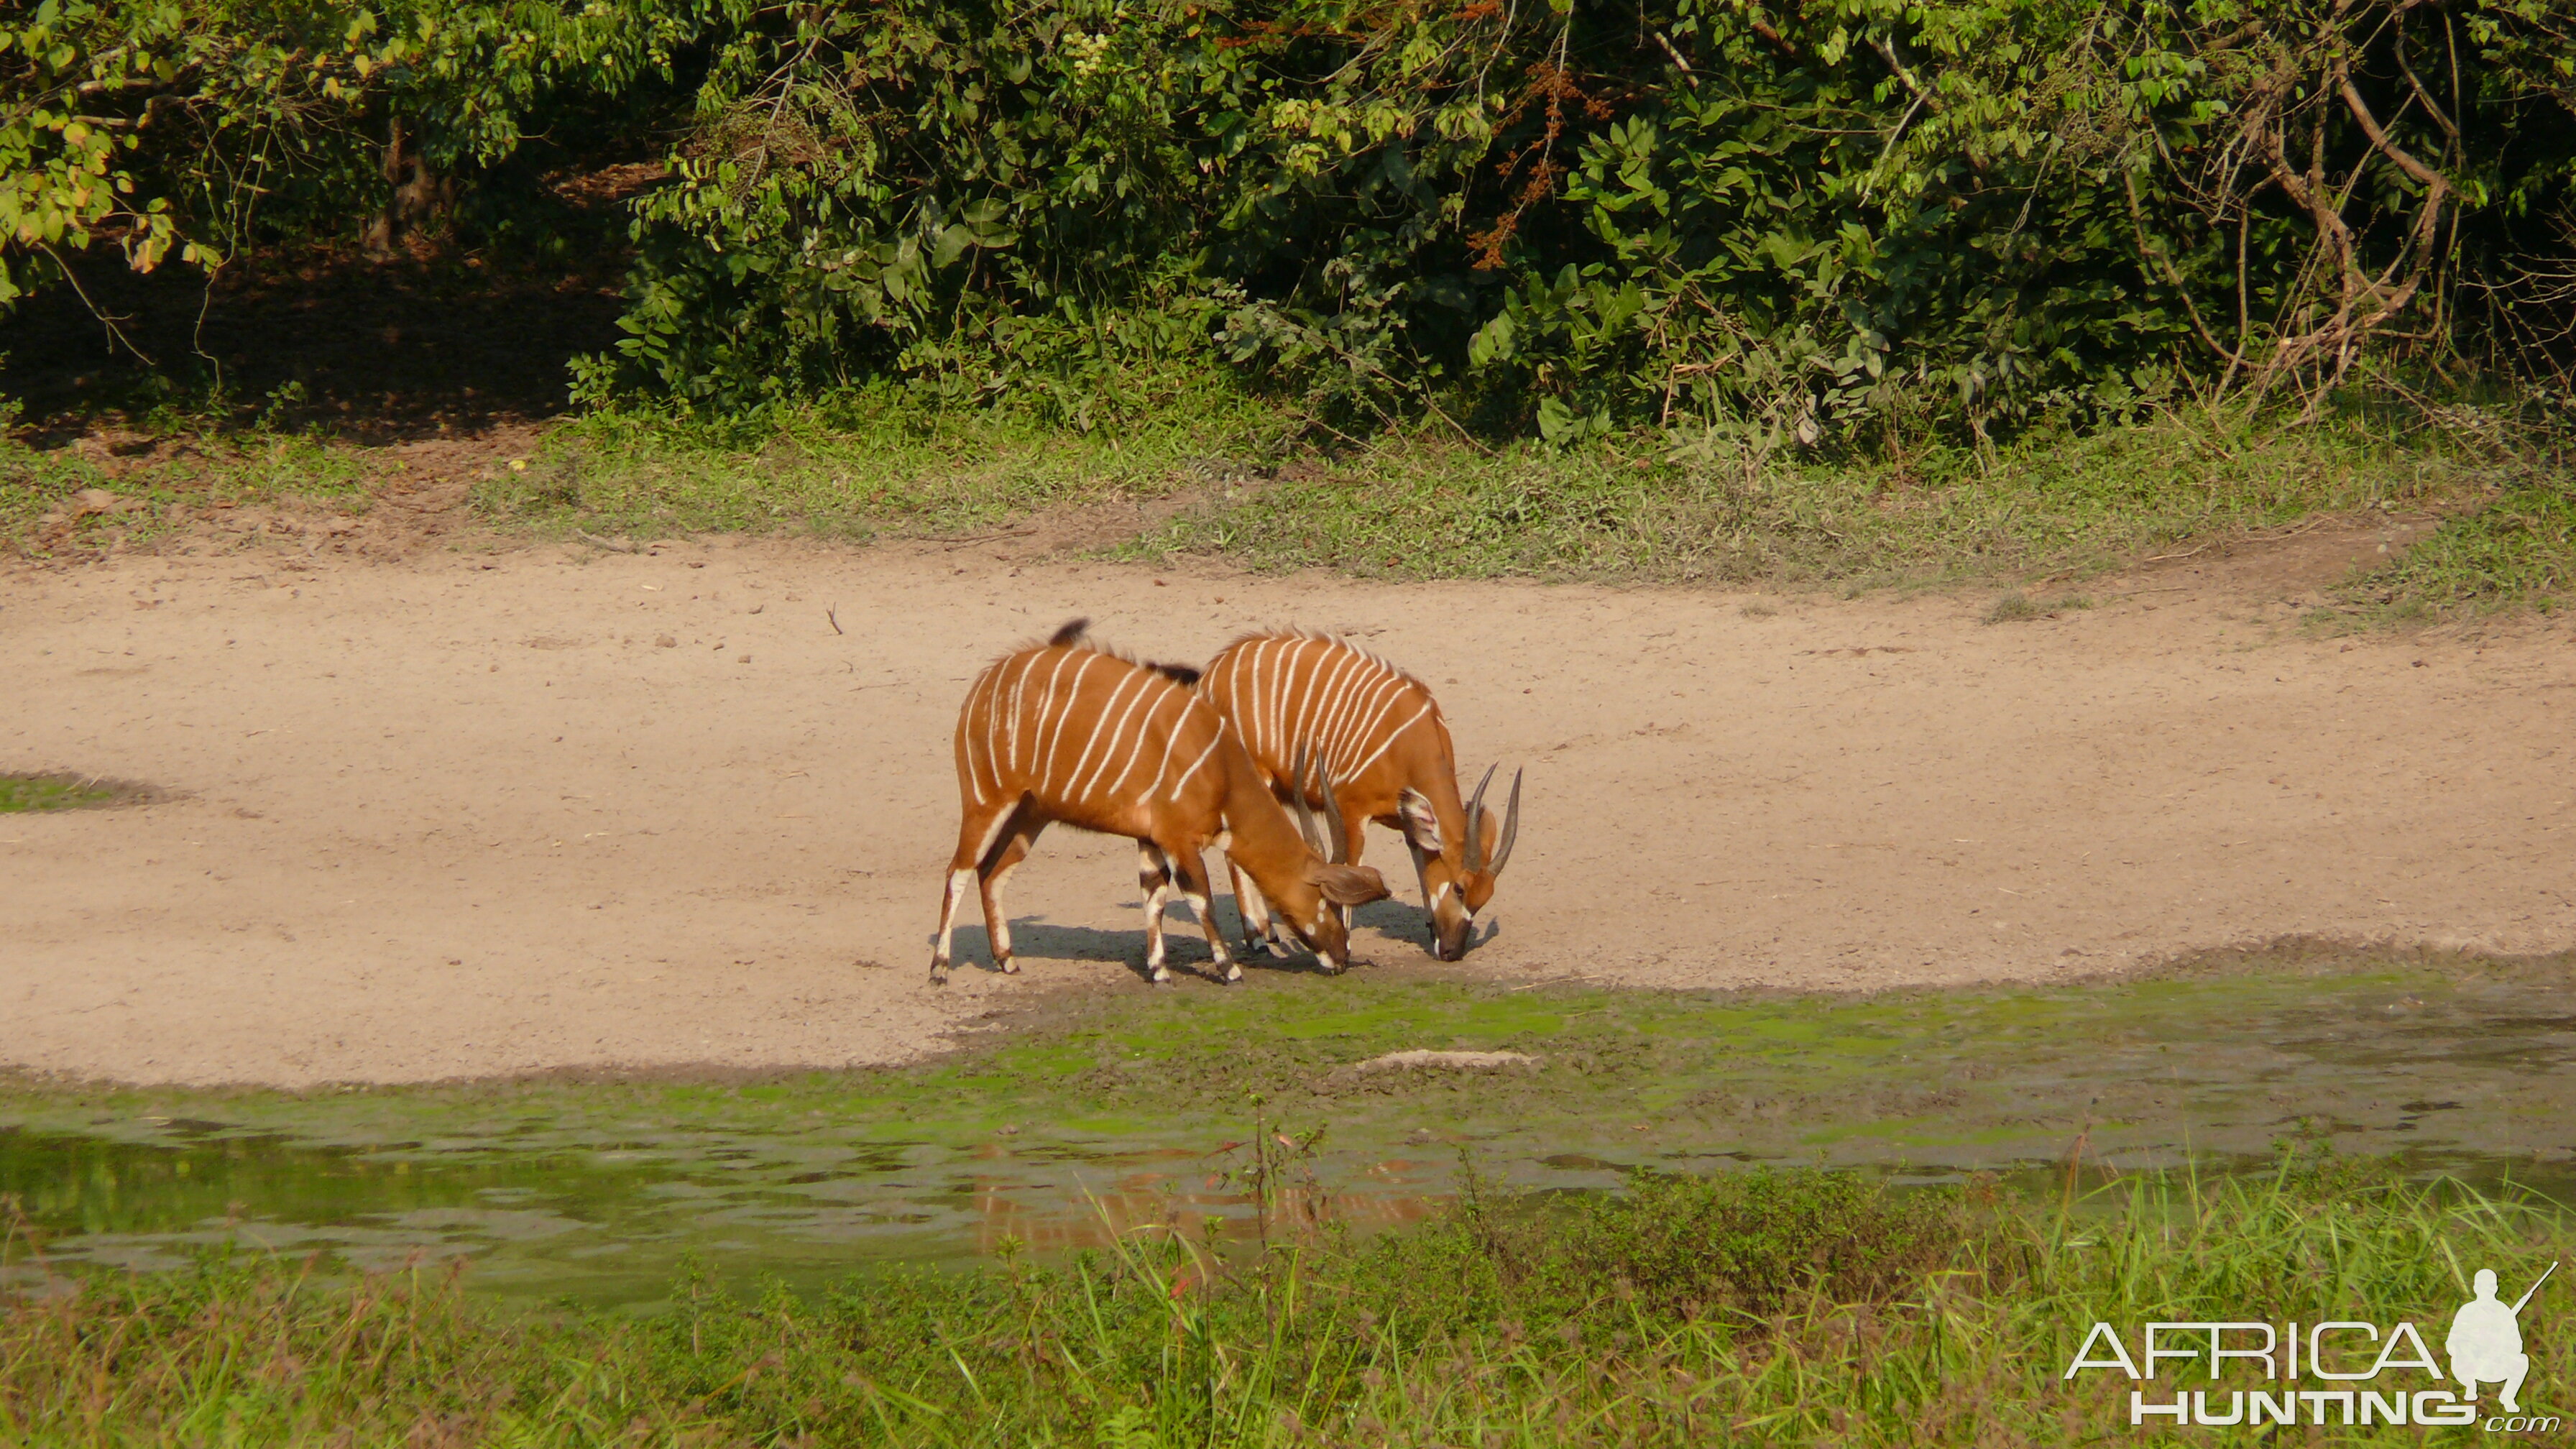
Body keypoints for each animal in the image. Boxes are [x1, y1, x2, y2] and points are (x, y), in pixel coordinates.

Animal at [922, 618, 1381, 980]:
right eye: (1326, 902)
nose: (1341, 958)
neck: (1220, 766)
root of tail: (985, 684)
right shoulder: (1180, 840)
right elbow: (1200, 899)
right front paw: (1228, 968)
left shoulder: (1151, 838)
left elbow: (1154, 896)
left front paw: (1159, 970)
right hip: (986, 801)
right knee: (958, 869)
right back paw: (940, 968)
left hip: (1030, 814)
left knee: (992, 872)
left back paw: (1007, 960)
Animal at [1195, 631, 1514, 959]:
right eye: (1459, 888)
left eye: (1485, 896)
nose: (1452, 952)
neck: (1406, 746)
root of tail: (1214, 671)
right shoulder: (1351, 811)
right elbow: (1349, 868)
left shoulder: (1407, 822)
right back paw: (1258, 936)